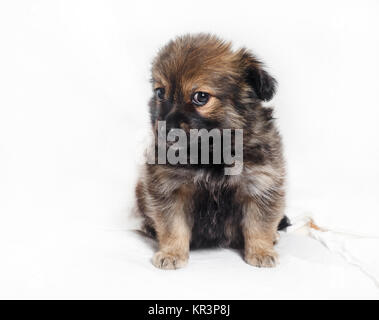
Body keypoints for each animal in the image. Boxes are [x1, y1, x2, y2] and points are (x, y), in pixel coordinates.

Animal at [135, 33, 290, 268]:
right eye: (160, 92)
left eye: (201, 97)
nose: (165, 129)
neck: (210, 151)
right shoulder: (169, 188)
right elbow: (173, 227)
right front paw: (172, 253)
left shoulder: (260, 184)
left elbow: (259, 224)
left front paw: (261, 251)